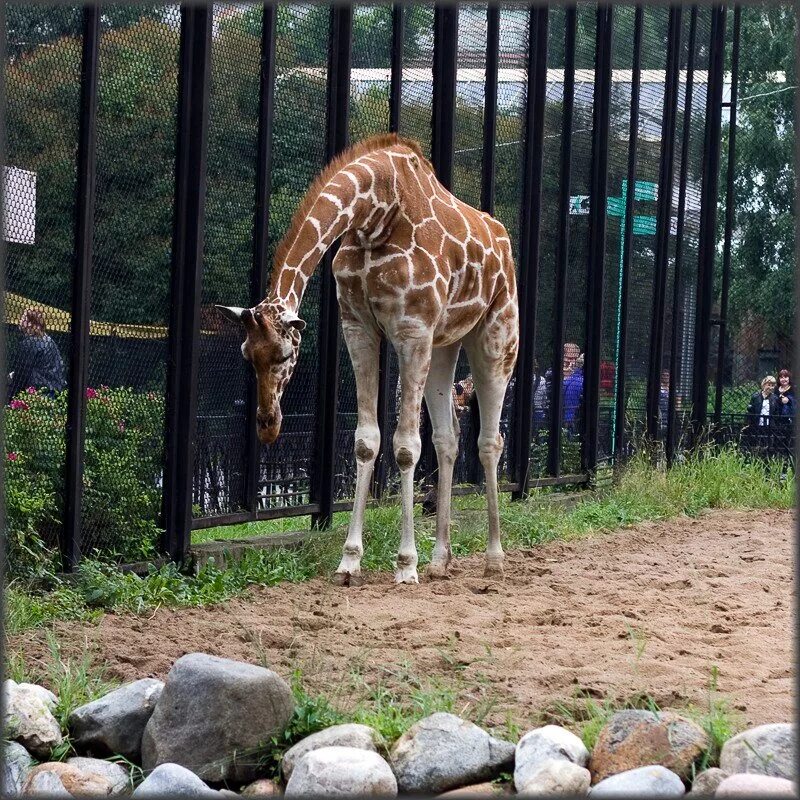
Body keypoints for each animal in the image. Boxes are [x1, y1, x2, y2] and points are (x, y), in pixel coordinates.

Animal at [219, 130, 520, 580]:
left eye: (285, 354)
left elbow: (406, 446)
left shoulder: (412, 329)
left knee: (490, 440)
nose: (268, 426)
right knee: (449, 436)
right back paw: (440, 560)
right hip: (444, 343)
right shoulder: (358, 327)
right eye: (245, 354)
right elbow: (366, 441)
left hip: (497, 335)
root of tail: (503, 240)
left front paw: (405, 564)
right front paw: (350, 560)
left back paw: (494, 559)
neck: (375, 215)